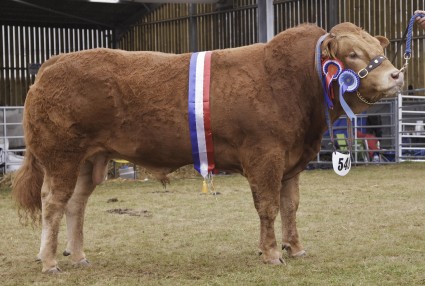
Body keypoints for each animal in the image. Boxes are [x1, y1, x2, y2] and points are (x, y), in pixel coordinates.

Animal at [11, 22, 402, 272]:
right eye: (353, 54)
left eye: (378, 48)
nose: (396, 75)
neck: (295, 84)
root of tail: (52, 63)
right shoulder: (265, 156)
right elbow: (268, 207)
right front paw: (271, 254)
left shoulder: (292, 162)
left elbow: (290, 207)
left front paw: (296, 248)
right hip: (61, 155)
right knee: (53, 202)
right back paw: (50, 262)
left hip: (90, 159)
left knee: (75, 204)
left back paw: (77, 256)